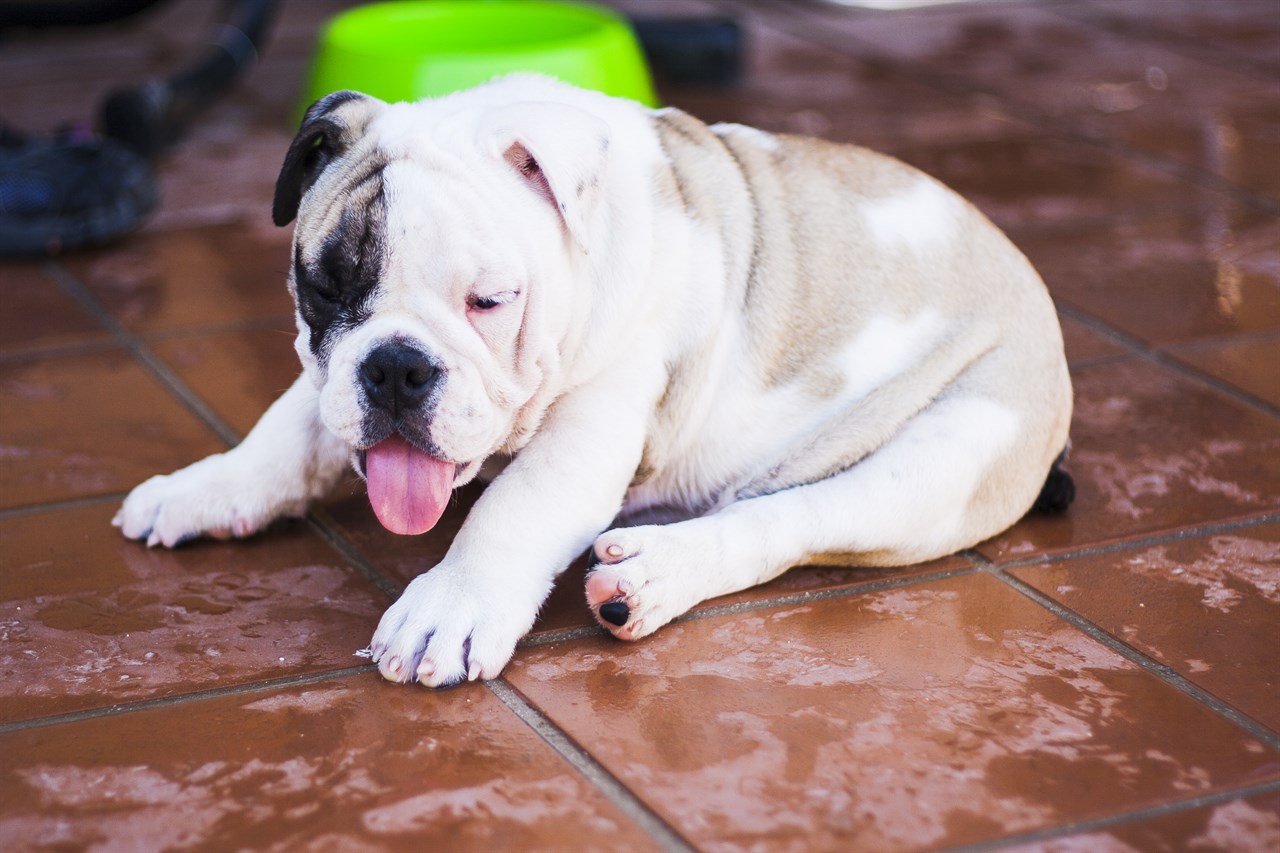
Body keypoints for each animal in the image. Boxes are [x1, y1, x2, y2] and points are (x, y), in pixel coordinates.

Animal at [110, 73, 1075, 686]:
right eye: (327, 285)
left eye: (490, 301)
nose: (396, 368)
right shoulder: (328, 379)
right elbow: (285, 429)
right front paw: (206, 487)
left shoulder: (595, 419)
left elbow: (514, 509)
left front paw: (449, 607)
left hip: (946, 453)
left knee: (794, 518)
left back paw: (652, 574)